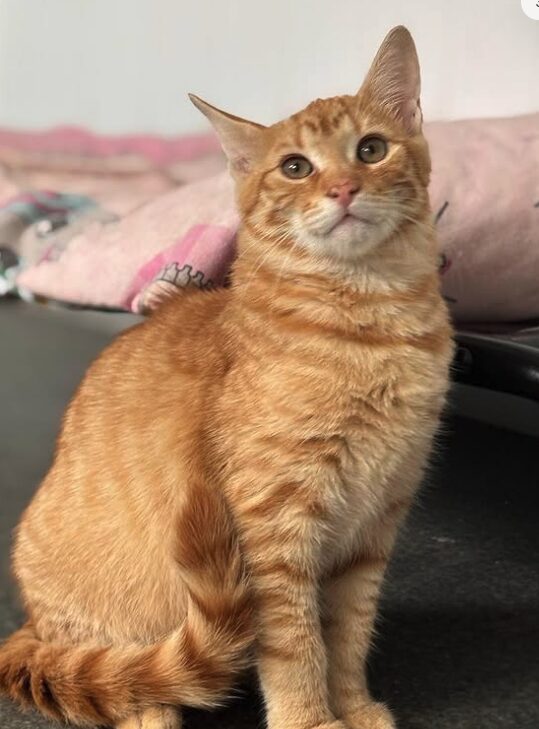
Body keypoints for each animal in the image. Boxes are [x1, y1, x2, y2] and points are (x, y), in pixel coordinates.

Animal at [0, 25, 454, 728]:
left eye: (371, 150)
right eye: (295, 167)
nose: (344, 189)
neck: (373, 325)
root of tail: (28, 625)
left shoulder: (373, 527)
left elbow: (348, 634)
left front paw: (352, 707)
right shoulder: (273, 528)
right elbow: (296, 644)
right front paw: (310, 719)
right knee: (130, 685)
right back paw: (150, 706)